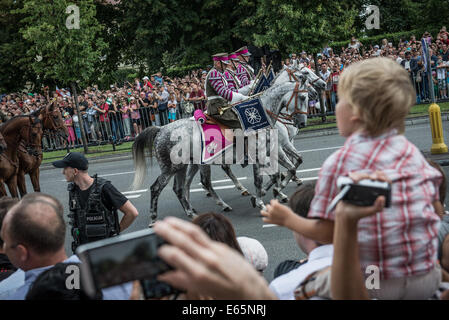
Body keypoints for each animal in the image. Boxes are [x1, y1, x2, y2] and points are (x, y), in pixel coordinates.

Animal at [131, 80, 302, 225]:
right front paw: (263, 198)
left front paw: (275, 193)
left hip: (185, 166)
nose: (300, 122)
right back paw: (154, 219)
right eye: (302, 96)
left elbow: (282, 171)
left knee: (182, 187)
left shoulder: (273, 151)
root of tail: (161, 129)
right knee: (162, 187)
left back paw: (192, 212)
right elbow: (268, 176)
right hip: (172, 168)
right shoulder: (267, 152)